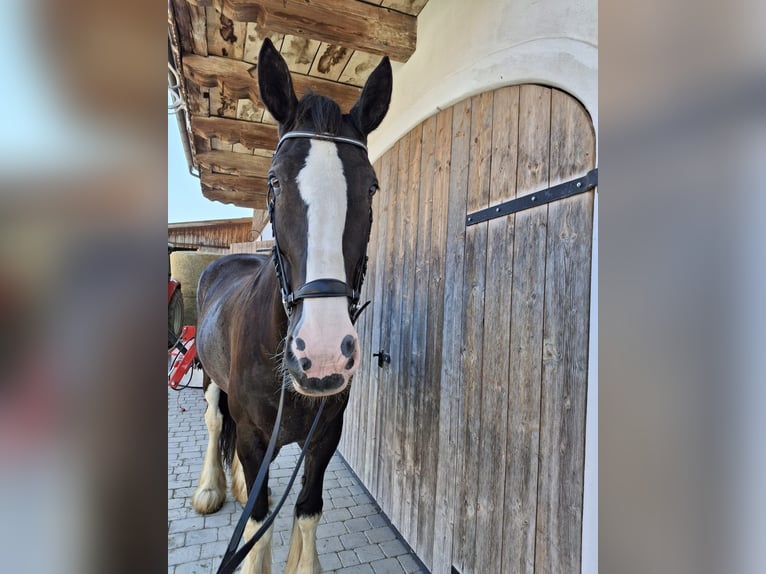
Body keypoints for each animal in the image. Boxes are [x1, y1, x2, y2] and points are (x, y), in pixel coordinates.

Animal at [190, 37, 392, 574]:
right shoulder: (254, 437)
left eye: (371, 187)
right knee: (215, 419)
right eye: (274, 182)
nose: (321, 355)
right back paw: (211, 489)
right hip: (209, 375)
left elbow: (305, 509)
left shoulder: (325, 436)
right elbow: (260, 524)